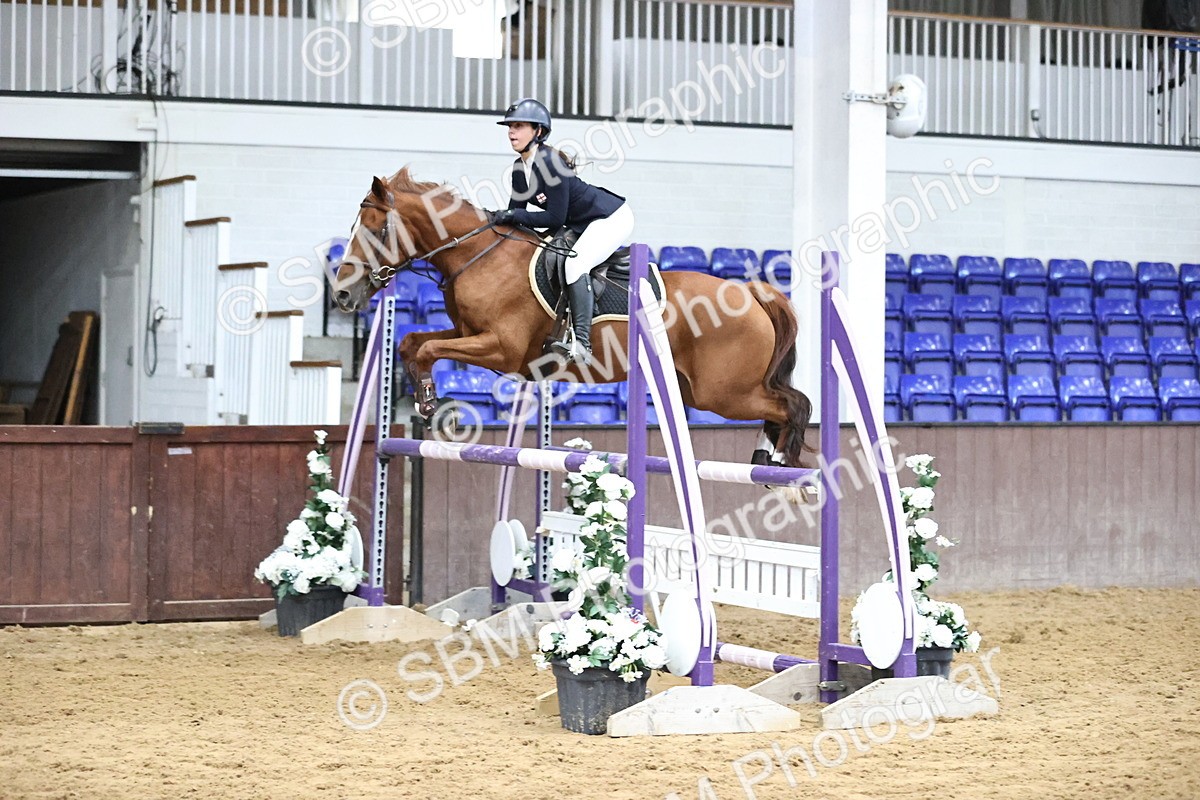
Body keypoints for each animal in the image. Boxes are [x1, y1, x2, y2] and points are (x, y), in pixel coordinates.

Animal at [333, 168, 813, 470]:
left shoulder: (501, 349)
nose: (342, 293)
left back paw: (782, 465)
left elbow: (429, 347)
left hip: (724, 393)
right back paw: (767, 460)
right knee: (784, 404)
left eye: (375, 230)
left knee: (794, 405)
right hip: (703, 391)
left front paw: (431, 401)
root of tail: (749, 292)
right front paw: (424, 396)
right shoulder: (468, 332)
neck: (477, 255)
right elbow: (413, 342)